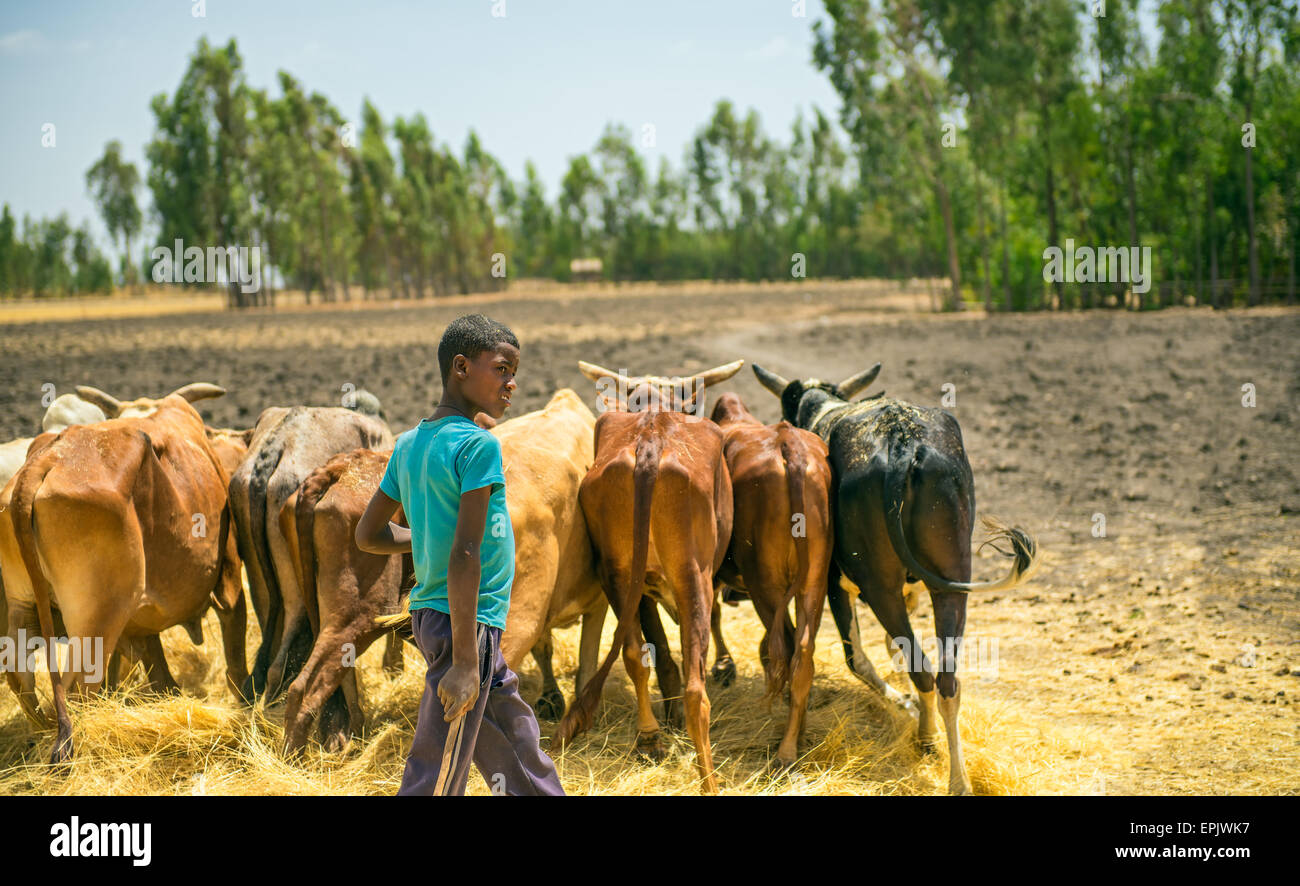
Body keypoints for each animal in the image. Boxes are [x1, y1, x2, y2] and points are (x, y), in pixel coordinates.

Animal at [0, 381, 245, 758]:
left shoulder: (140, 620)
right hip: (97, 620)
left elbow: (154, 663)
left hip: (24, 605)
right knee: (77, 688)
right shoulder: (229, 580)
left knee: (20, 675)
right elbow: (235, 657)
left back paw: (42, 734)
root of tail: (47, 460)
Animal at [556, 358, 743, 795]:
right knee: (696, 688)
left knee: (634, 656)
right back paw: (708, 779)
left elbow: (654, 651)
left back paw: (649, 739)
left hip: (617, 574)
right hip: (693, 578)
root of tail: (650, 443)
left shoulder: (638, 588)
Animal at [707, 389, 837, 769]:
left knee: (788, 646)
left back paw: (785, 751)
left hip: (765, 582)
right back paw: (796, 738)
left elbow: (713, 615)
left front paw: (723, 666)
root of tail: (788, 446)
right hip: (814, 581)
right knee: (803, 652)